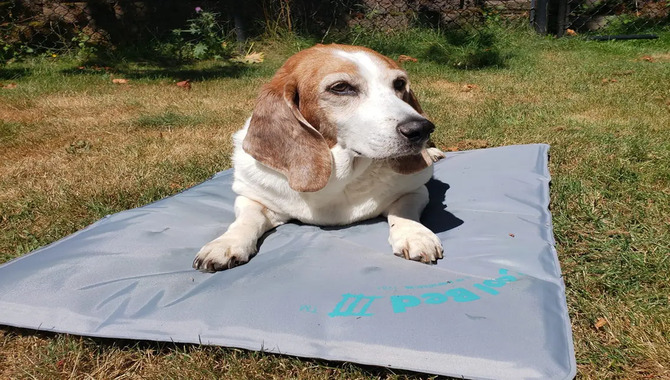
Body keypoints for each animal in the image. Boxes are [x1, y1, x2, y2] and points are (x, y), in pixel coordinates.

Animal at [194, 43, 446, 272]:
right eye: (341, 87)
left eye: (399, 83)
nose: (421, 129)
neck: (341, 175)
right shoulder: (251, 197)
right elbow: (246, 220)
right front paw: (225, 243)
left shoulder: (415, 190)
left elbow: (402, 210)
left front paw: (415, 234)